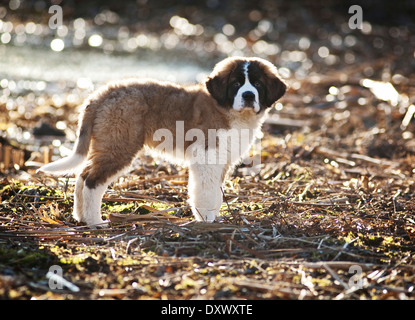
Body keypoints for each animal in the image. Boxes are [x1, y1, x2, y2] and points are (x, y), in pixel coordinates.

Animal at [38, 56, 286, 226]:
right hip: (119, 145)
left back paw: (80, 217)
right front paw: (206, 219)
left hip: (108, 144)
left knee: (82, 176)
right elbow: (205, 191)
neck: (229, 111)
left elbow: (216, 191)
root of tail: (99, 95)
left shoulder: (222, 159)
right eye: (236, 84)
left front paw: (214, 216)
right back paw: (94, 221)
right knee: (91, 180)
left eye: (258, 85)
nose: (248, 95)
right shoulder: (206, 156)